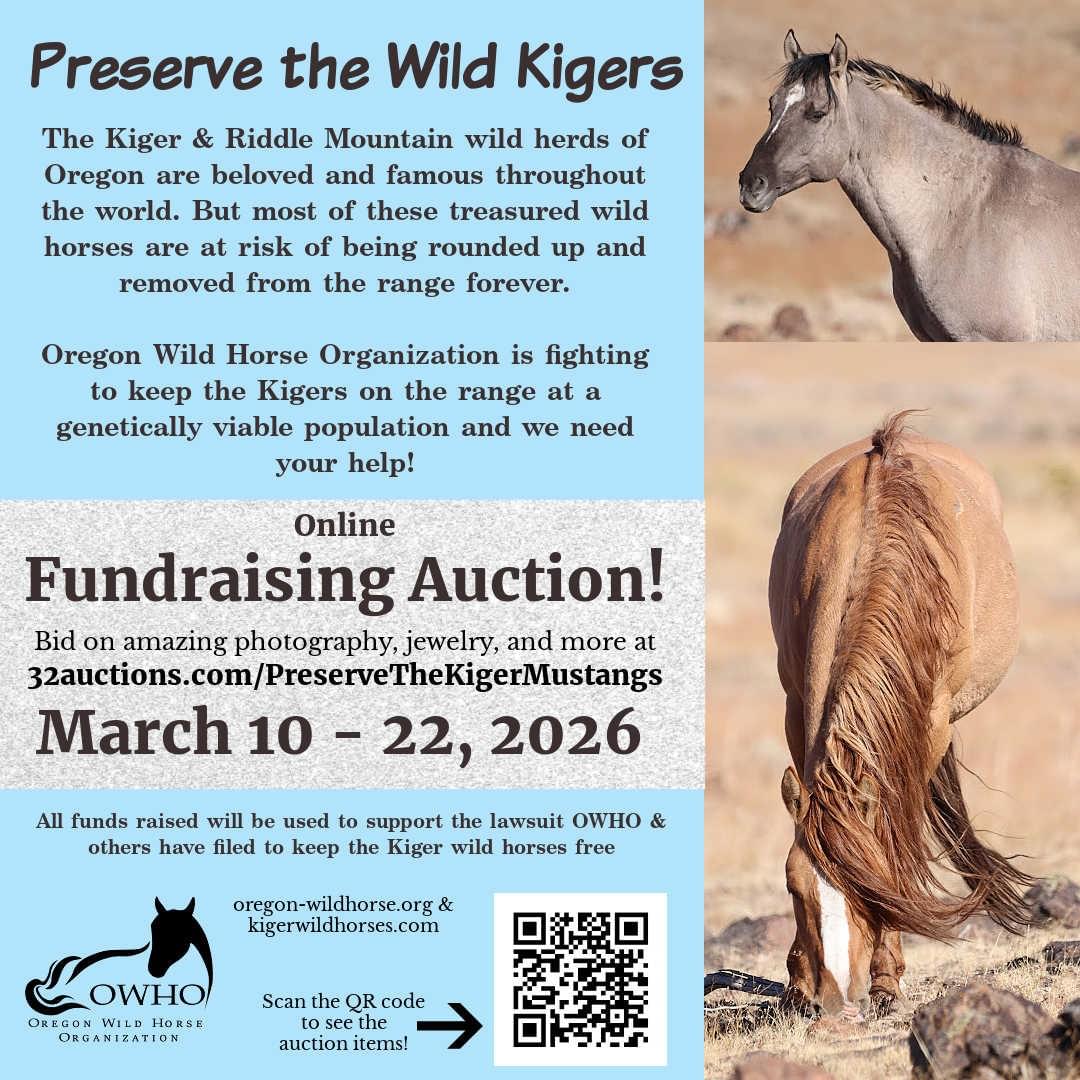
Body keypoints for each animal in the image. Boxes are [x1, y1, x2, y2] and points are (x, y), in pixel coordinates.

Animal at [767, 413, 1033, 1019]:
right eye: (794, 887)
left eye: (872, 892)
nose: (834, 1000)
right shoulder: (797, 709)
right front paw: (796, 980)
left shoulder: (930, 726)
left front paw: (887, 980)